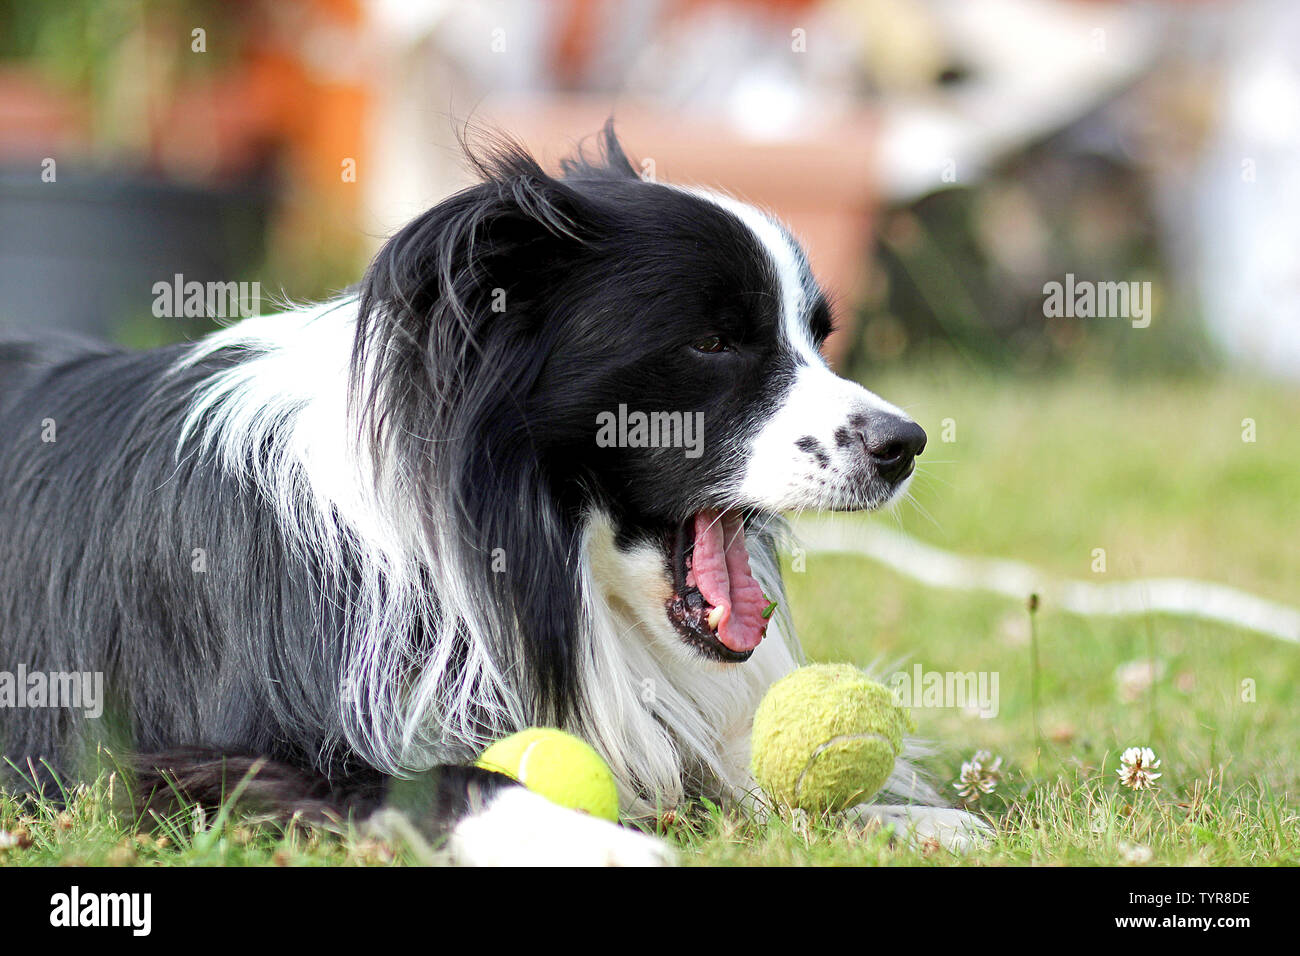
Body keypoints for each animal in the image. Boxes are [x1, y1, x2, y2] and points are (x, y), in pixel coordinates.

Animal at [0, 127, 977, 868]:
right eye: (713, 342)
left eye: (817, 337)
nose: (904, 446)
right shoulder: (175, 755)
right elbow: (449, 776)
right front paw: (593, 838)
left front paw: (899, 817)